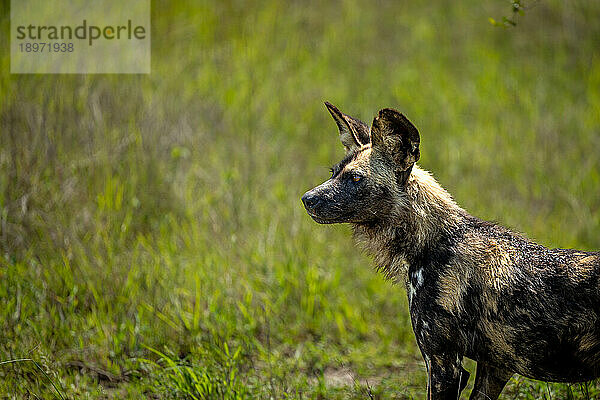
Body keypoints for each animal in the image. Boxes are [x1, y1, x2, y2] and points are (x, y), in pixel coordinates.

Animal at [302, 103, 600, 400]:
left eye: (355, 178)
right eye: (333, 173)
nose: (306, 199)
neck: (432, 242)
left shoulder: (444, 366)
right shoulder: (495, 368)